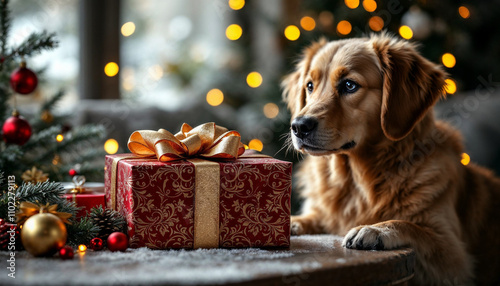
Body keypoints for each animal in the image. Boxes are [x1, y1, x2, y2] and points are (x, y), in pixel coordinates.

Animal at [284, 32, 500, 284]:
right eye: (309, 86)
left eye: (349, 85)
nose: (298, 126)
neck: (355, 181)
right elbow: (313, 216)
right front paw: (292, 221)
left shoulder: (454, 258)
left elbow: (413, 227)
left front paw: (376, 229)